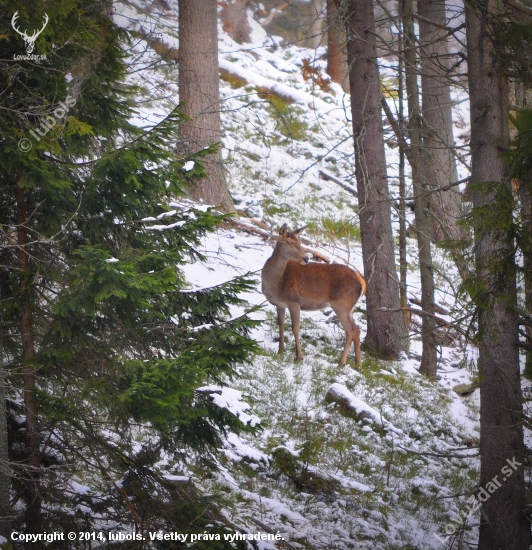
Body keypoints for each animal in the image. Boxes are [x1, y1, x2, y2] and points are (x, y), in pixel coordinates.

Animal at [262, 222, 366, 368]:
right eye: (288, 242)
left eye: (299, 242)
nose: (305, 258)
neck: (276, 283)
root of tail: (363, 282)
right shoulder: (280, 304)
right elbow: (280, 324)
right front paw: (280, 350)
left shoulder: (294, 300)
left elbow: (295, 328)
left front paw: (299, 357)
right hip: (349, 308)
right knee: (357, 330)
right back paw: (358, 364)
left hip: (342, 305)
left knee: (350, 331)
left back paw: (341, 362)